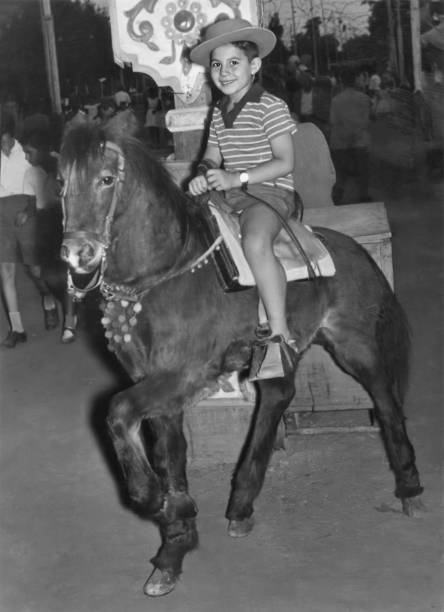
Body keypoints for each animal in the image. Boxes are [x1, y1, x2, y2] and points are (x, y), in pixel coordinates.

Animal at [59, 123, 424, 596]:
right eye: (61, 184)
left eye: (105, 179)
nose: (76, 253)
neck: (164, 274)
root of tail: (353, 250)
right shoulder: (155, 383)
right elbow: (170, 454)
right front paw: (174, 544)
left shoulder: (183, 373)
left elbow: (116, 411)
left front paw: (151, 498)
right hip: (283, 349)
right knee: (278, 394)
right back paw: (242, 504)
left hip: (356, 346)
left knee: (385, 399)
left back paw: (410, 487)